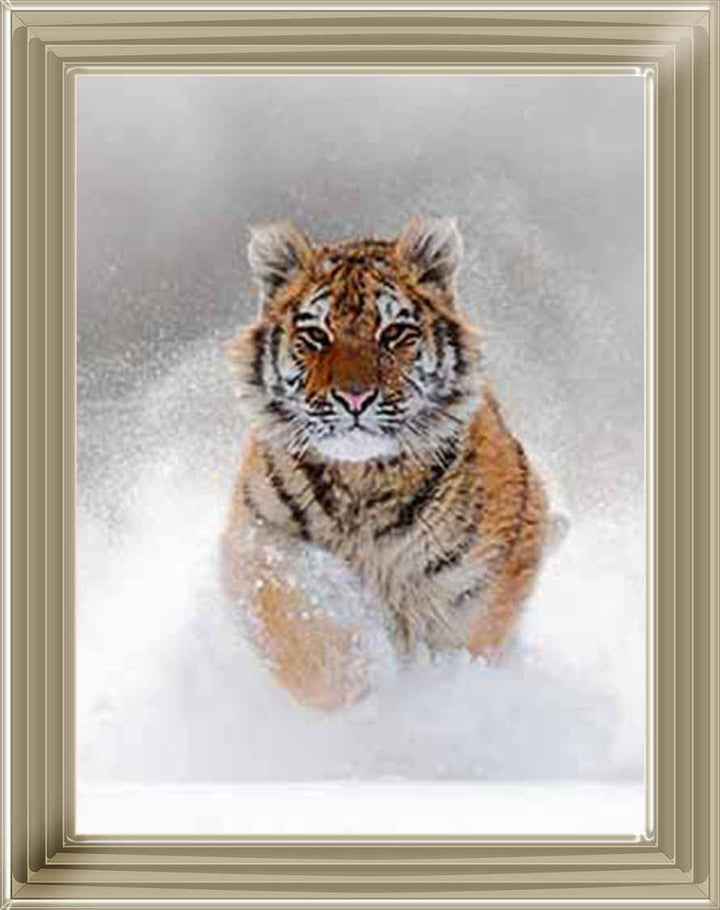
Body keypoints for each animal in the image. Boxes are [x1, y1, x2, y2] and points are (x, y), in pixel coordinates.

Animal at [222, 216, 554, 711]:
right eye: (316, 336)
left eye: (394, 333)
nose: (354, 397)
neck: (361, 480)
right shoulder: (255, 539)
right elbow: (299, 619)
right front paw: (359, 684)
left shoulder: (487, 576)